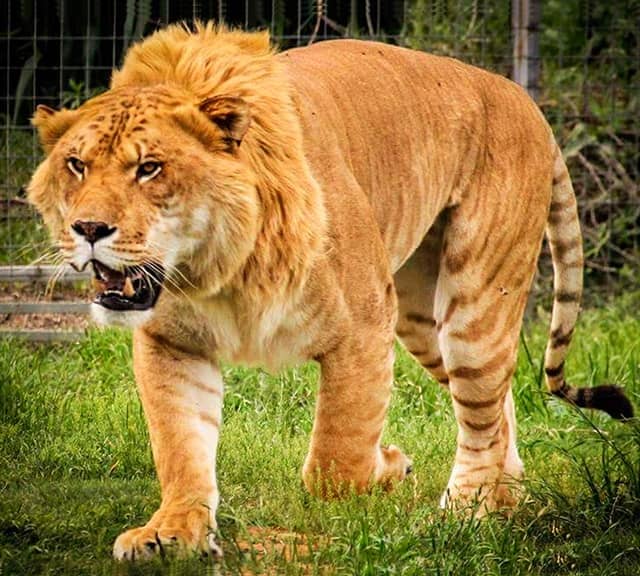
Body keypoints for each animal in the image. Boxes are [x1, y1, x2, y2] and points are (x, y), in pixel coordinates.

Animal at [27, 22, 633, 560]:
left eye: (150, 168)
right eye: (76, 165)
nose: (88, 228)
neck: (214, 271)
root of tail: (523, 98)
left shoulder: (363, 325)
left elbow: (335, 462)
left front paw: (389, 467)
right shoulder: (172, 344)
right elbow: (180, 446)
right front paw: (172, 533)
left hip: (474, 301)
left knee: (482, 411)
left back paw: (466, 515)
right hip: (421, 318)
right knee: (497, 403)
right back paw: (504, 501)